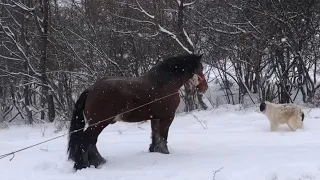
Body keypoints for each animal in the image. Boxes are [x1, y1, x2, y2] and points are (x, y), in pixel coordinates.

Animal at [66, 53, 209, 170]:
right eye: (200, 68)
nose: (205, 88)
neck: (165, 83)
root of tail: (91, 89)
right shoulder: (167, 117)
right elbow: (163, 136)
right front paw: (165, 153)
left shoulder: (155, 118)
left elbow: (155, 136)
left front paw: (154, 151)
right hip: (99, 123)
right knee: (86, 141)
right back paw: (84, 165)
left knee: (91, 142)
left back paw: (97, 162)